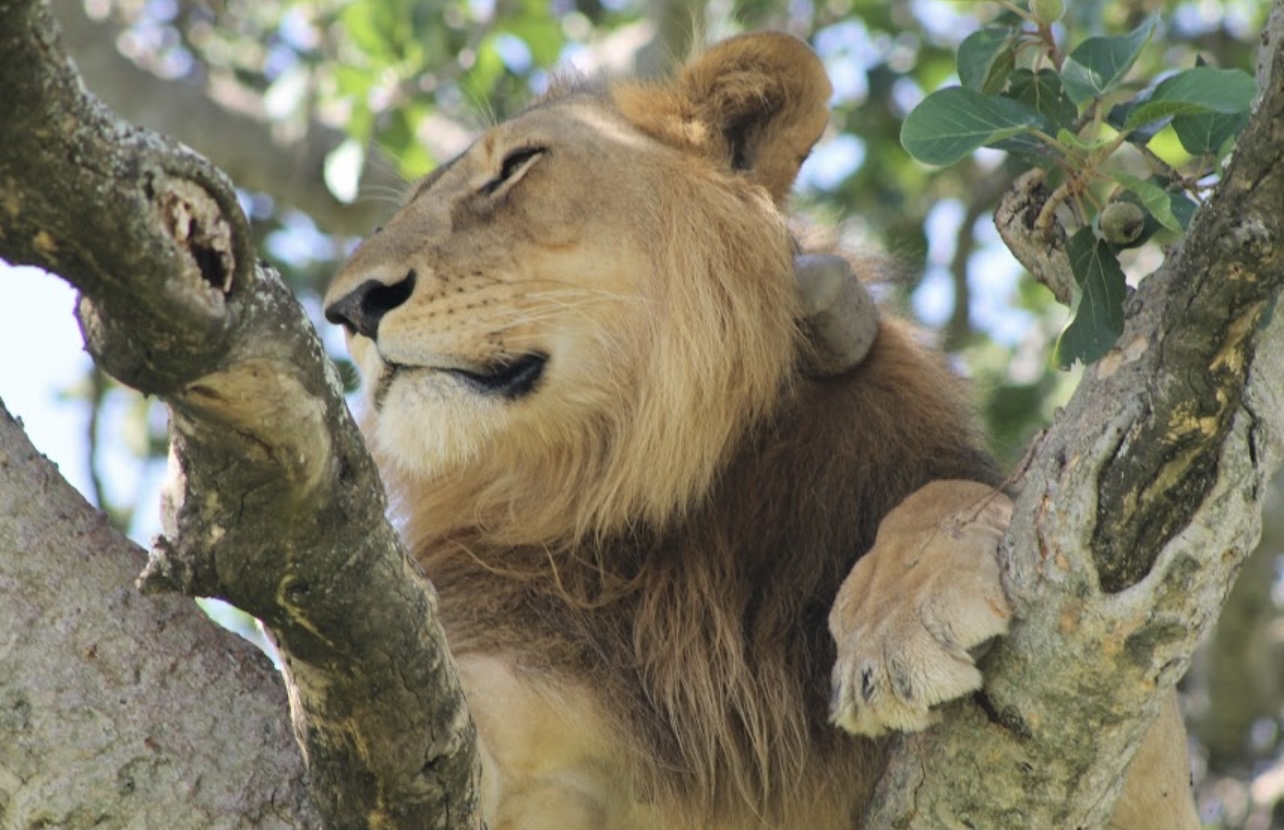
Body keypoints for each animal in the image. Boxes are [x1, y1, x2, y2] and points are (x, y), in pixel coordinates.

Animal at [323, 30, 1201, 830]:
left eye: (516, 167)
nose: (349, 308)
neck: (640, 482)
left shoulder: (1131, 752)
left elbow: (952, 493)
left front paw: (896, 623)